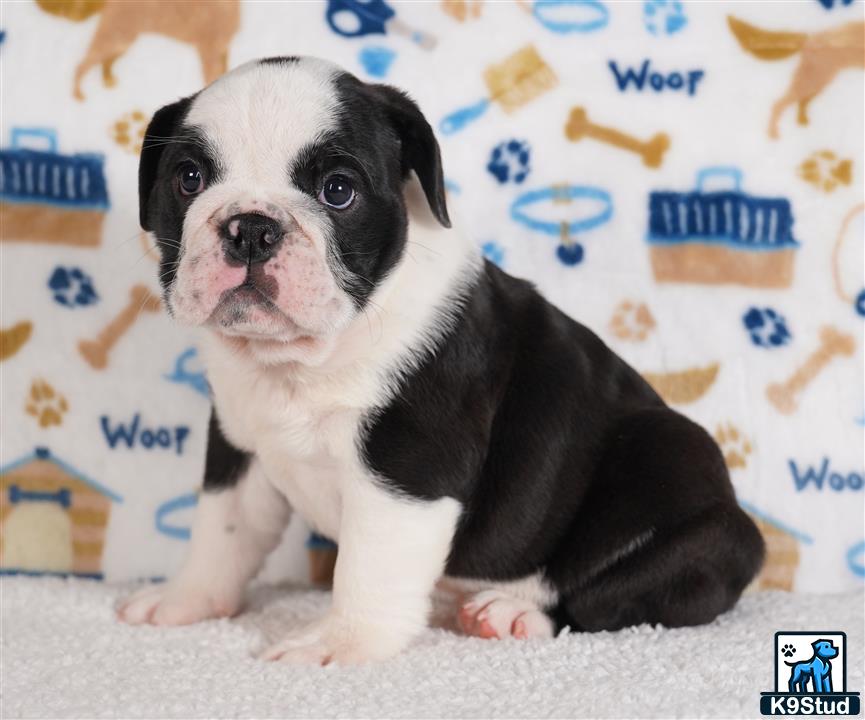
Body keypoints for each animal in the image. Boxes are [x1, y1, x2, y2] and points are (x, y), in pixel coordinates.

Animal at [120, 56, 764, 664]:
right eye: (188, 178)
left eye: (338, 190)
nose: (250, 227)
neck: (301, 360)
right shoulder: (239, 445)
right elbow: (222, 530)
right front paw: (187, 600)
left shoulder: (407, 467)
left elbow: (368, 566)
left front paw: (339, 643)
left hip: (675, 481)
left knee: (607, 597)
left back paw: (515, 611)